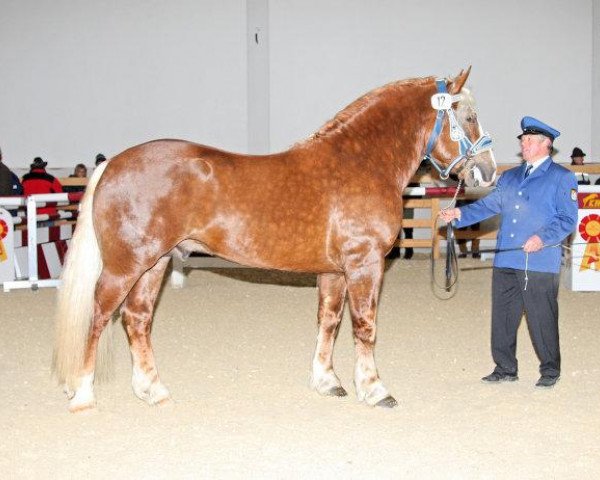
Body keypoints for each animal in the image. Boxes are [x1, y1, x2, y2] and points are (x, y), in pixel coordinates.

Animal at [52, 68, 496, 412]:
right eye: (470, 116)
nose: (488, 172)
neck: (361, 162)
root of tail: (113, 163)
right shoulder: (364, 264)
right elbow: (365, 326)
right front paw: (374, 390)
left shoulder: (334, 272)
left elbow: (329, 322)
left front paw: (327, 381)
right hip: (125, 265)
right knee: (99, 316)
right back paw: (83, 394)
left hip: (154, 263)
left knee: (137, 319)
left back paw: (153, 390)